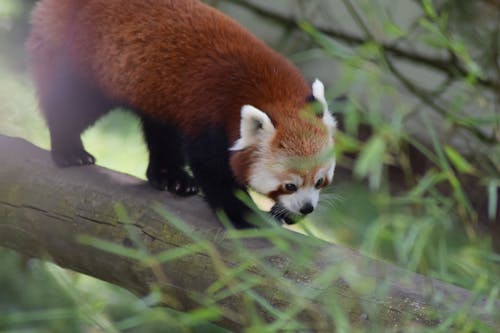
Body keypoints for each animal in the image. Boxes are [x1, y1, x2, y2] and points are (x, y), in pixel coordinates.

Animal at [26, 0, 336, 227]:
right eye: (289, 185)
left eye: (320, 181)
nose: (307, 208)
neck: (269, 91)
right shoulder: (209, 117)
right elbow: (213, 171)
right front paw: (245, 216)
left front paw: (284, 214)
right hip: (94, 63)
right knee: (72, 104)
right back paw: (69, 150)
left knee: (161, 131)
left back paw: (170, 176)